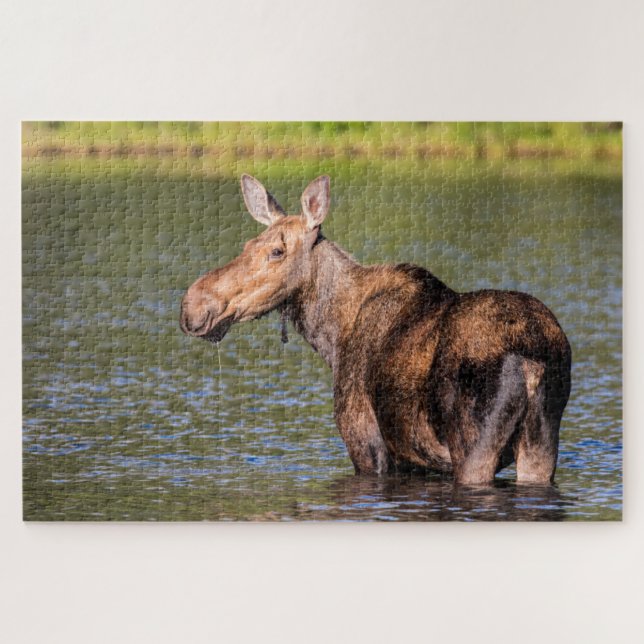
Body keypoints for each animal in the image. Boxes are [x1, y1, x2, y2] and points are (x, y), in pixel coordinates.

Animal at [180, 175, 571, 485]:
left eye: (277, 251)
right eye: (248, 245)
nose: (193, 304)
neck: (332, 337)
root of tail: (533, 362)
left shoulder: (366, 444)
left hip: (474, 448)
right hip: (541, 445)